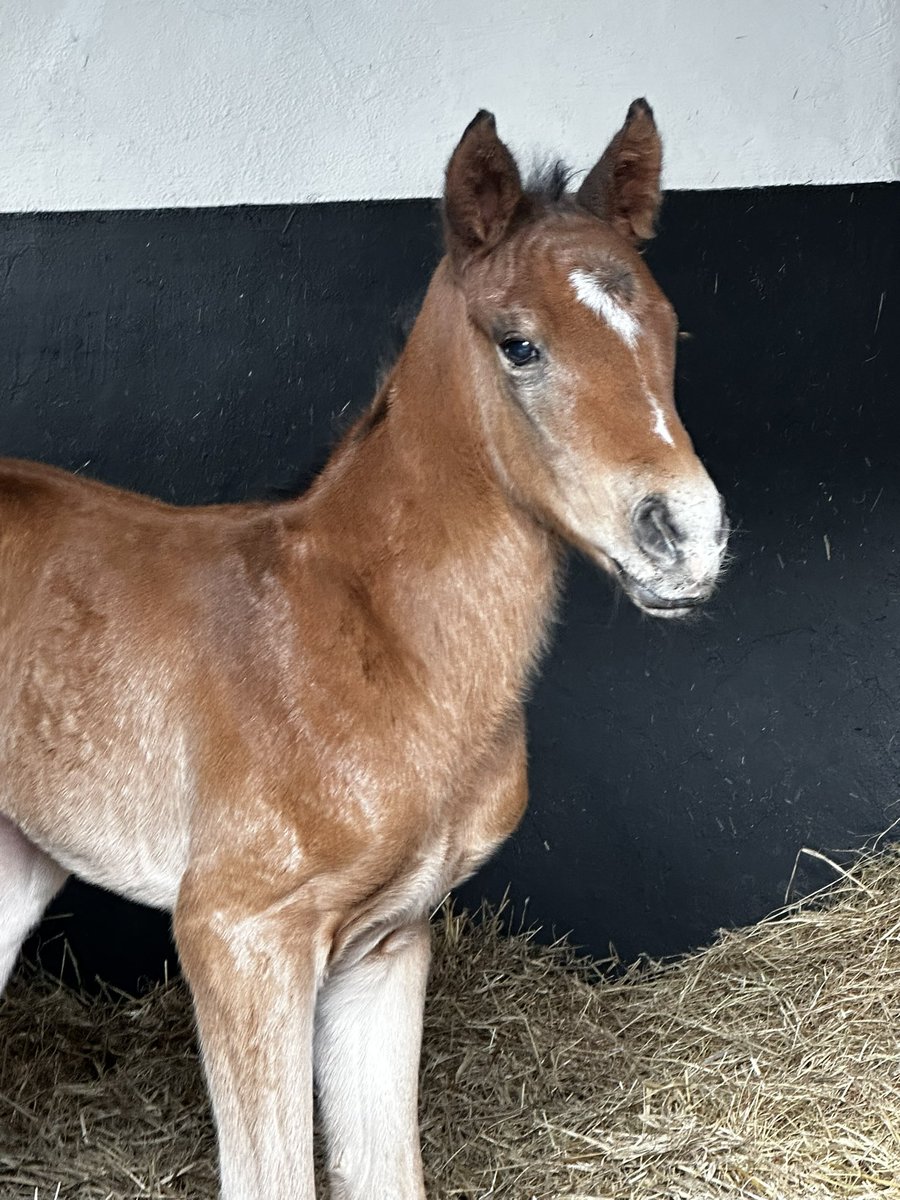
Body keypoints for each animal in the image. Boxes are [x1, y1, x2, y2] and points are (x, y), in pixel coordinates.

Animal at [0, 103, 729, 1200]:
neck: (376, 644)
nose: (684, 535)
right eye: (519, 345)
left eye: (670, 329)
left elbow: (387, 1172)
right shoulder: (240, 937)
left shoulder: (387, 944)